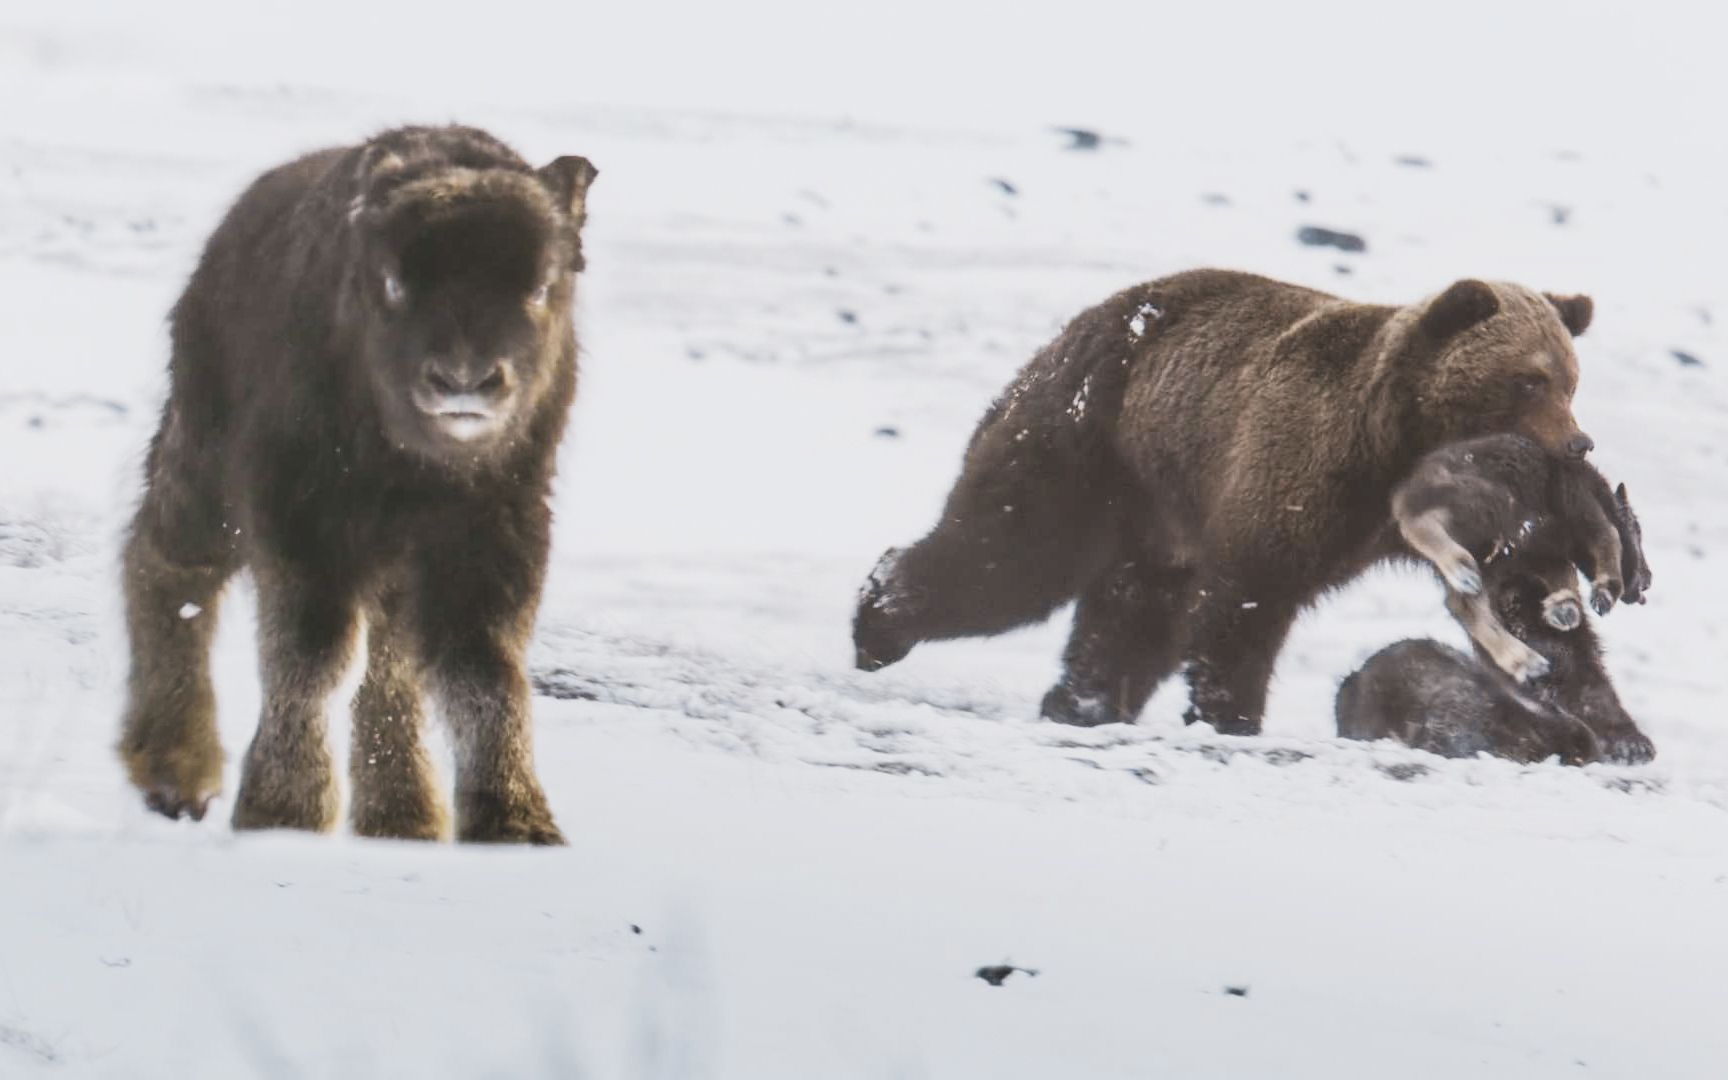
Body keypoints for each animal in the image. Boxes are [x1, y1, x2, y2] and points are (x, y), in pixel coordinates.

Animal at [114, 128, 597, 843]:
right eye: (394, 282)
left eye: (540, 285)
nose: (463, 380)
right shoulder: (303, 524)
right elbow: (314, 656)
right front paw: (283, 811)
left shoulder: (492, 535)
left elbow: (482, 671)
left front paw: (519, 826)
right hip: (204, 467)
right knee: (167, 567)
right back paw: (178, 775)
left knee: (392, 663)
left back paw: (405, 818)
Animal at [857, 273, 1596, 736]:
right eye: (1530, 379)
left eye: (1570, 379)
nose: (1579, 443)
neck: (1396, 439)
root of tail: (1065, 336)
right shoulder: (1301, 468)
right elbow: (1249, 598)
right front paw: (1232, 713)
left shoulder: (1425, 506)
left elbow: (1514, 580)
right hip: (1089, 445)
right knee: (1013, 557)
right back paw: (877, 623)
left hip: (1157, 509)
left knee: (1129, 612)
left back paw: (1083, 702)